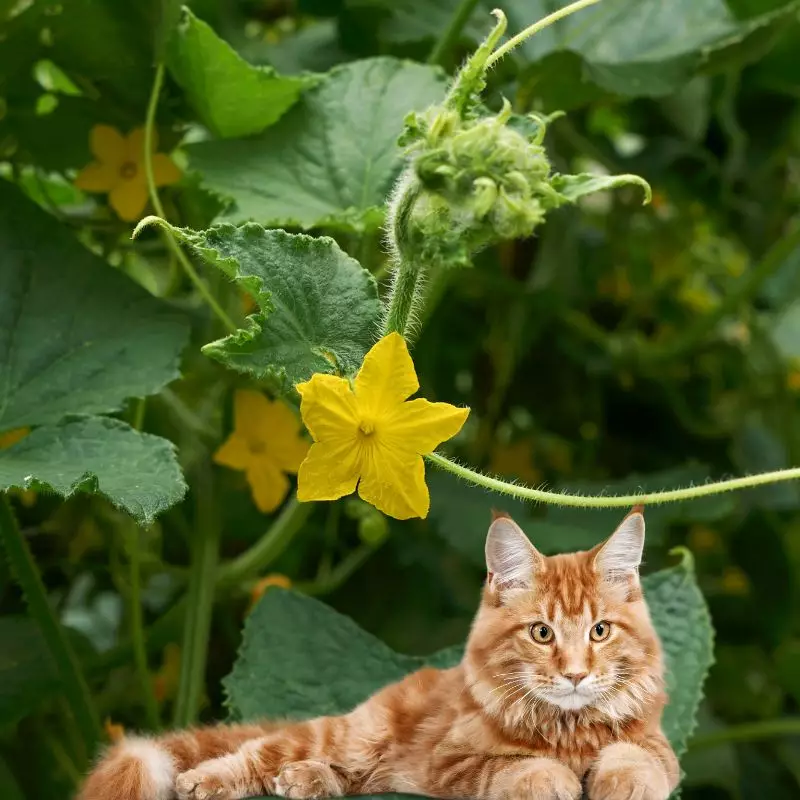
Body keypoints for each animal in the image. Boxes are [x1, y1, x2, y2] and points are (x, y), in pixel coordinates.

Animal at [79, 510, 676, 800]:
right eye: (542, 633)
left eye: (599, 631)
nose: (575, 675)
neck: (566, 730)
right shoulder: (453, 763)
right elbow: (518, 769)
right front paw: (552, 780)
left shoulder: (657, 747)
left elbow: (636, 760)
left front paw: (623, 784)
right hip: (351, 734)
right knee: (257, 751)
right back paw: (208, 782)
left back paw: (306, 782)